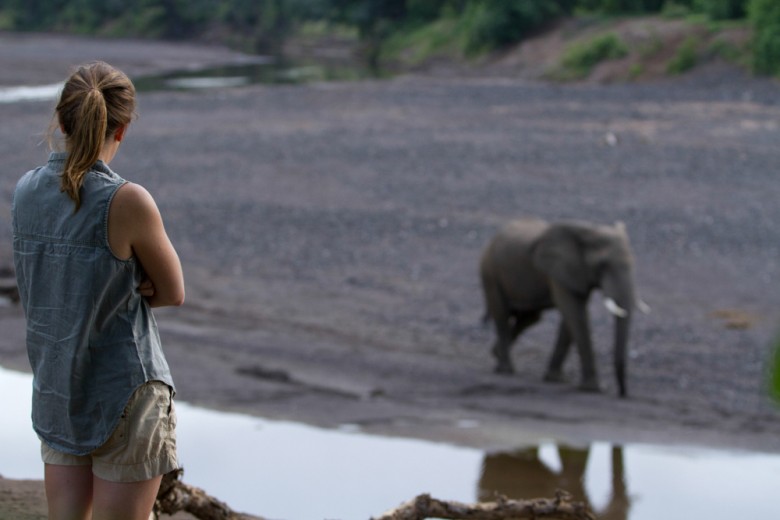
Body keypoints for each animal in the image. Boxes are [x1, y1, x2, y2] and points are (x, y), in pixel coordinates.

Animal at [478, 217, 644, 396]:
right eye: (602, 265)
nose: (622, 393)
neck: (589, 231)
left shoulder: (577, 274)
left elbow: (571, 318)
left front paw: (556, 379)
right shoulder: (559, 271)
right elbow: (575, 313)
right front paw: (592, 388)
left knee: (530, 318)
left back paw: (496, 353)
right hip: (490, 271)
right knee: (501, 314)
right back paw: (506, 369)